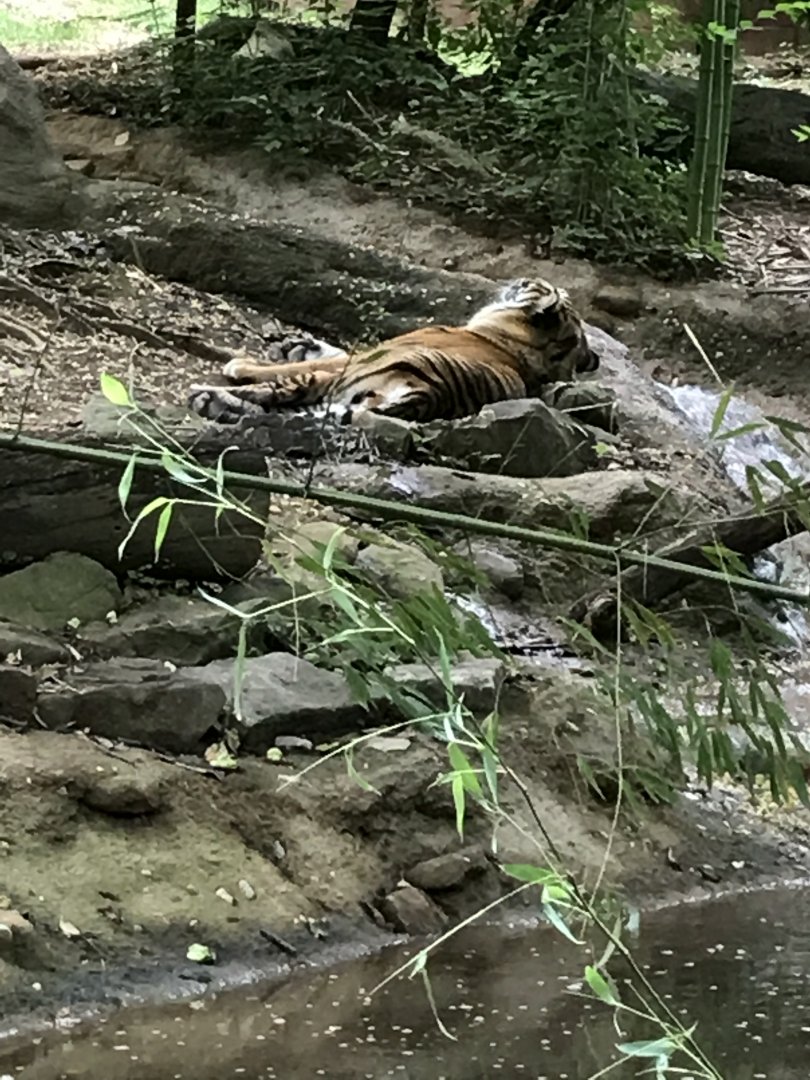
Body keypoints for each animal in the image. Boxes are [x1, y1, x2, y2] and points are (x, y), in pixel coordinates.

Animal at [187, 277, 599, 426]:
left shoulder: (374, 352)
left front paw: (244, 362)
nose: (522, 279)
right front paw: (299, 344)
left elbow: (335, 354)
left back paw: (209, 396)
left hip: (341, 382)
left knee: (275, 392)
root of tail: (427, 395)